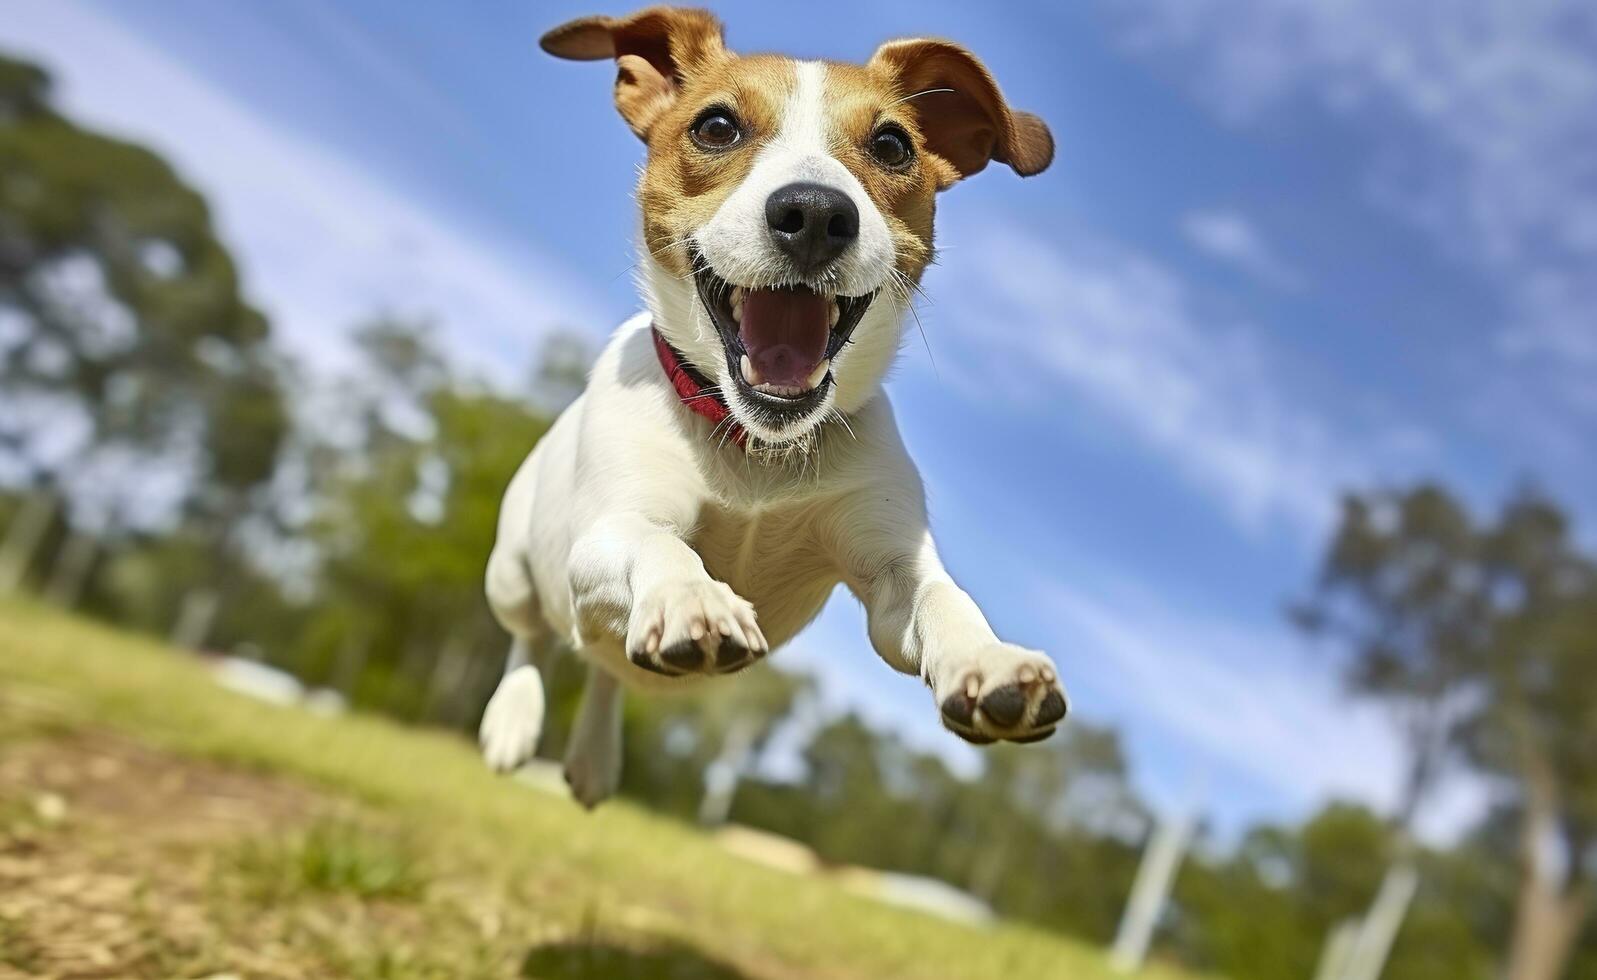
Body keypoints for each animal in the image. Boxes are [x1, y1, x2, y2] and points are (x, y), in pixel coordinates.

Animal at [479, 5, 1066, 807]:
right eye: (717, 127)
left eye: (892, 144)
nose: (815, 213)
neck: (757, 448)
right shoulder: (605, 535)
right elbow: (658, 545)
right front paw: (692, 599)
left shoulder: (890, 567)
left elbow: (942, 599)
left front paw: (991, 662)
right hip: (512, 570)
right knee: (533, 638)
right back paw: (513, 718)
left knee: (604, 669)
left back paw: (594, 758)